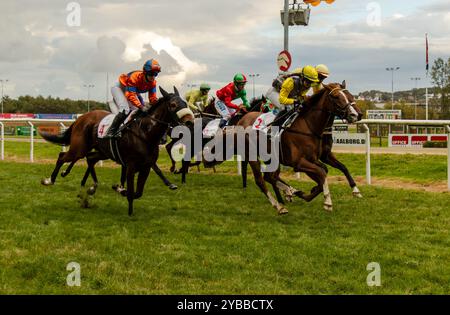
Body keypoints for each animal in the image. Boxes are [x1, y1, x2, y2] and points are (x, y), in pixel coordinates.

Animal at [42, 86, 195, 216]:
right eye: (173, 105)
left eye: (185, 103)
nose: (189, 122)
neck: (145, 133)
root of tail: (81, 118)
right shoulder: (131, 166)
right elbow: (132, 190)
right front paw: (129, 210)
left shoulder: (145, 166)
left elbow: (138, 192)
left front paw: (120, 189)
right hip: (79, 148)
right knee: (62, 156)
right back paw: (50, 180)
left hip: (103, 151)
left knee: (90, 158)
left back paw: (92, 187)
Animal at [237, 82, 360, 215]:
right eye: (336, 96)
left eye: (350, 95)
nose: (355, 115)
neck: (308, 127)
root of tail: (242, 120)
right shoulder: (298, 162)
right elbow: (322, 173)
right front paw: (327, 202)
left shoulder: (318, 158)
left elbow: (329, 170)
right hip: (251, 155)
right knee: (260, 180)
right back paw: (279, 206)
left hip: (271, 157)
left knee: (270, 177)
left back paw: (289, 192)